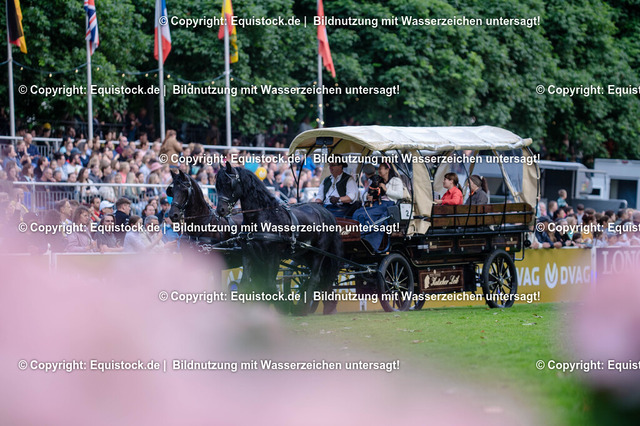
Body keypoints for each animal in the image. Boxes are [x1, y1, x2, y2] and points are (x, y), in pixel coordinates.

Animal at [215, 162, 342, 315]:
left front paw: (282, 307)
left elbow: (269, 284)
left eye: (229, 183)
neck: (263, 217)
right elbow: (247, 283)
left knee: (315, 277)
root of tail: (326, 212)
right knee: (319, 276)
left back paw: (303, 307)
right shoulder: (249, 255)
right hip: (305, 254)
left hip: (319, 253)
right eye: (217, 185)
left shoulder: (273, 256)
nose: (220, 210)